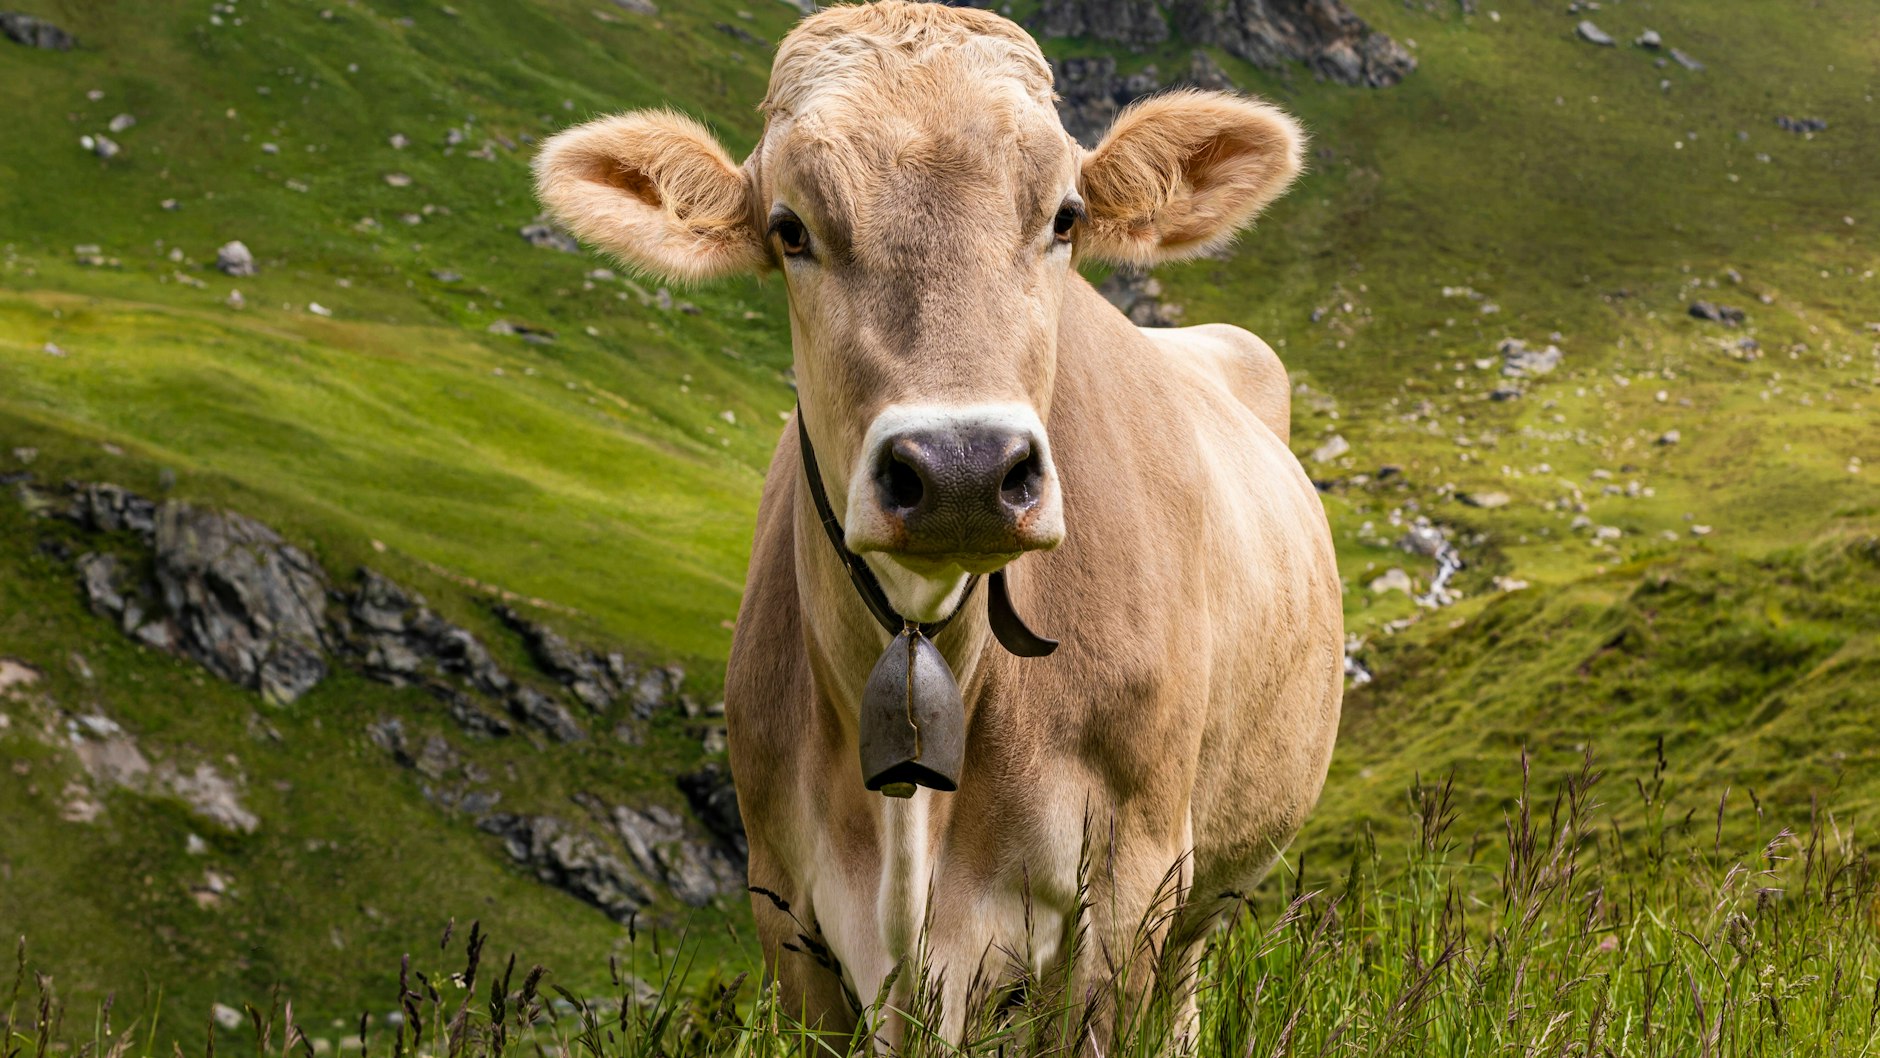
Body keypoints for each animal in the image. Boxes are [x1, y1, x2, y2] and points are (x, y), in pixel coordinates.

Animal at [534, 1, 1343, 1048]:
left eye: (1065, 217)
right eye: (790, 228)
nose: (964, 470)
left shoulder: (1131, 880)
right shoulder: (785, 905)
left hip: (1203, 898)